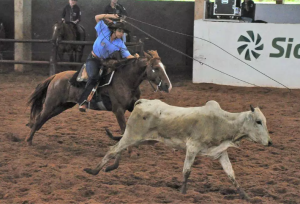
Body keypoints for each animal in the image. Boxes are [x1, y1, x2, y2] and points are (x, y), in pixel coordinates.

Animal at [27, 49, 172, 148]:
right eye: (156, 68)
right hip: (51, 104)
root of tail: (55, 76)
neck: (125, 80)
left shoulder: (132, 106)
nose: (168, 86)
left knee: (42, 120)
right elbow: (123, 129)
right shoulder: (118, 110)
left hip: (61, 106)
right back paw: (28, 140)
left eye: (164, 67)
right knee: (40, 118)